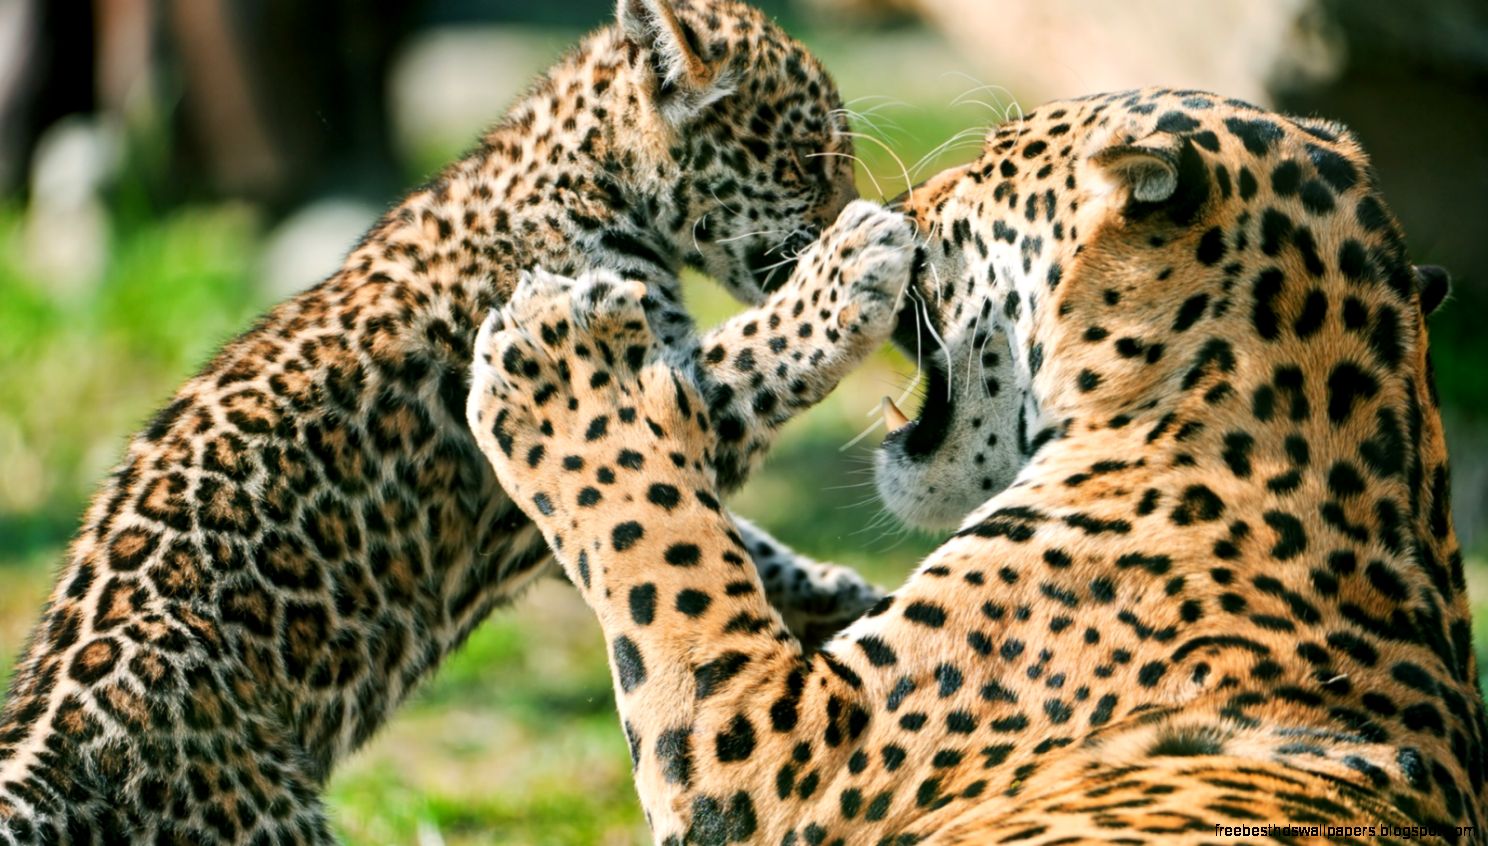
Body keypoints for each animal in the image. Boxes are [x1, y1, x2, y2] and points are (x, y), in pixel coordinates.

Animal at [0, 1, 916, 841]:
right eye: (808, 160)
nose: (864, 207)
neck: (585, 174)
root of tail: (42, 762)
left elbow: (690, 529)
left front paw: (834, 593)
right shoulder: (639, 385)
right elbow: (749, 360)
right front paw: (852, 267)